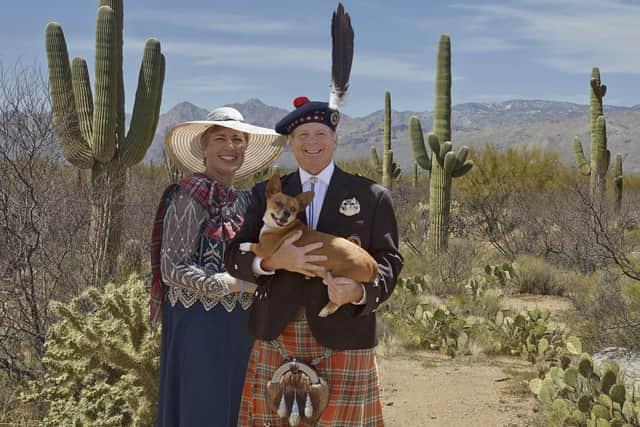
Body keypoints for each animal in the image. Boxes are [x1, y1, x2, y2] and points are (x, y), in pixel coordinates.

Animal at [240, 175, 380, 318]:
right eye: (278, 203)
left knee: (338, 301)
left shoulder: (265, 249)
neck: (279, 227)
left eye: (293, 209)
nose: (287, 213)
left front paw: (244, 245)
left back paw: (326, 310)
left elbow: (255, 246)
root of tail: (372, 263)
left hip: (341, 280)